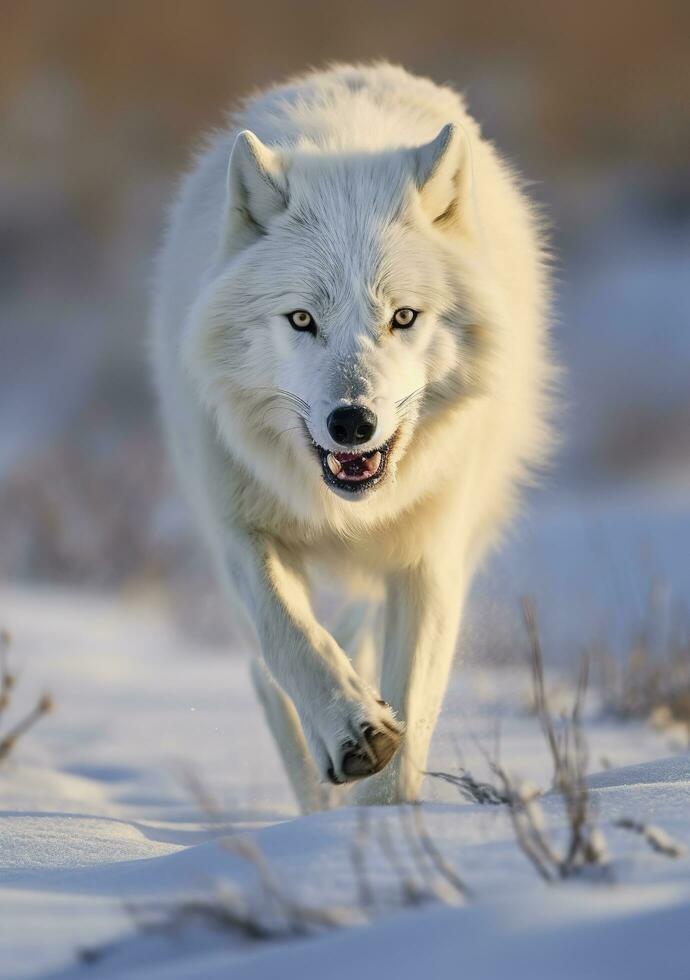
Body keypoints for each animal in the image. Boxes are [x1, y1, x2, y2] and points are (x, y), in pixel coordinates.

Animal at [152, 63, 552, 812]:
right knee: (266, 673)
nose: (352, 423)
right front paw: (351, 733)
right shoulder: (238, 529)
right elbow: (290, 636)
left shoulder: (430, 558)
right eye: (302, 319)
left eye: (403, 317)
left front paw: (386, 826)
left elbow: (411, 701)